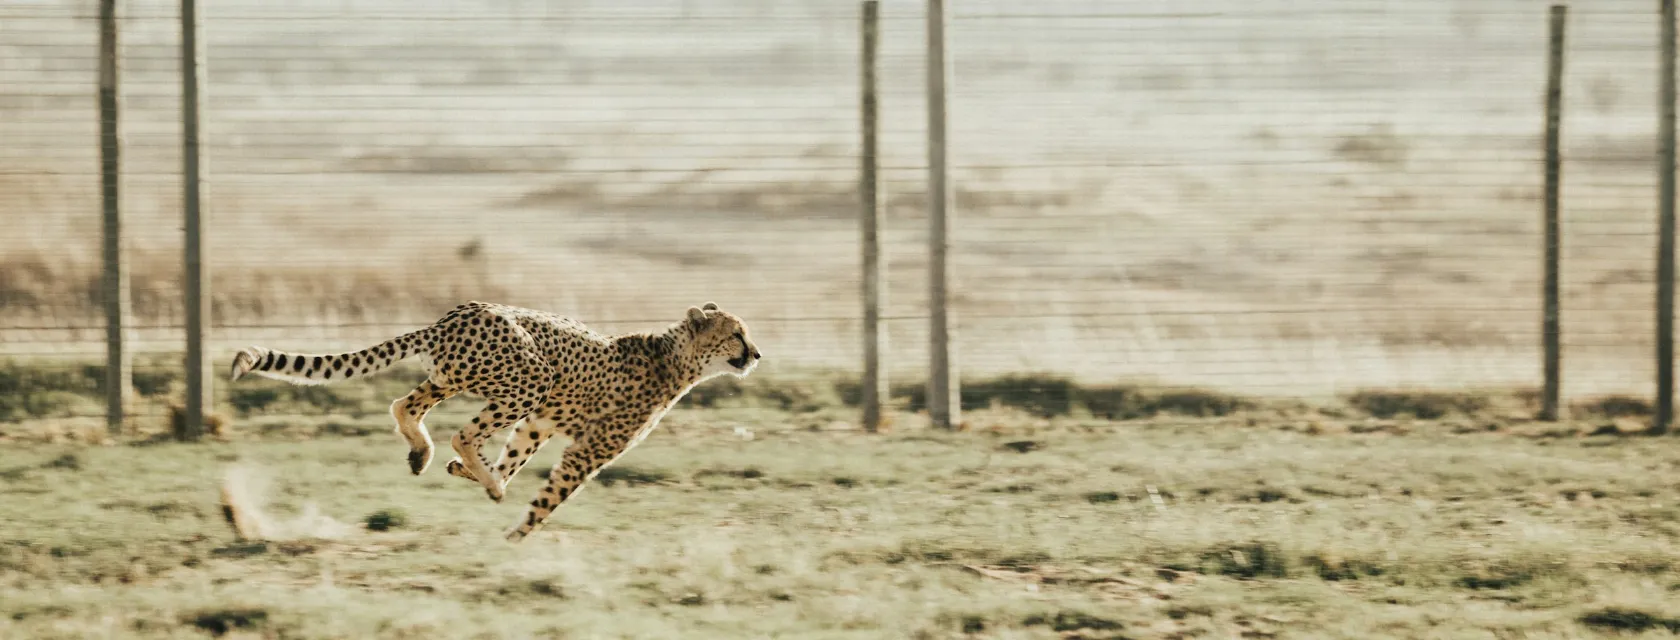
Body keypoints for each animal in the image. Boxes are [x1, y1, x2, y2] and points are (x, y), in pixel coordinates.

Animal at [227, 300, 761, 542]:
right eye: (736, 334)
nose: (756, 353)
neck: (675, 357)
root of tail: (455, 314)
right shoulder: (586, 449)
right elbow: (550, 496)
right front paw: (514, 536)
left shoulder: (540, 423)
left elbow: (516, 455)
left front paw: (479, 478)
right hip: (531, 377)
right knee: (462, 432)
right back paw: (478, 475)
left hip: (457, 378)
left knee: (406, 405)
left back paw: (428, 455)